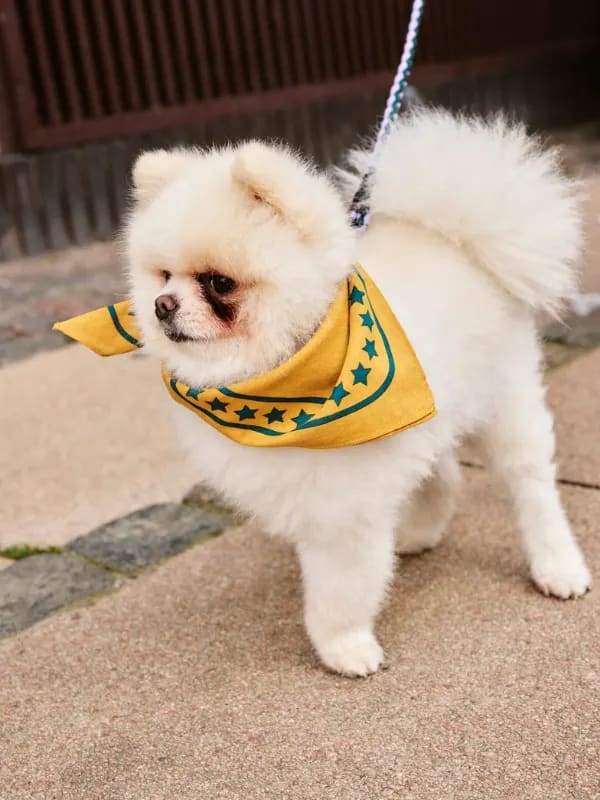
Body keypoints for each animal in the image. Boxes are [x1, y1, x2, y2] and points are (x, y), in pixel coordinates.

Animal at [125, 110, 591, 676]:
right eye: (163, 276)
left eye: (218, 283)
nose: (162, 306)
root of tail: (460, 241)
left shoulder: (342, 504)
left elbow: (340, 591)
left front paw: (343, 646)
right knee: (442, 475)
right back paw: (418, 532)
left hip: (504, 400)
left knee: (531, 485)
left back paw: (557, 564)